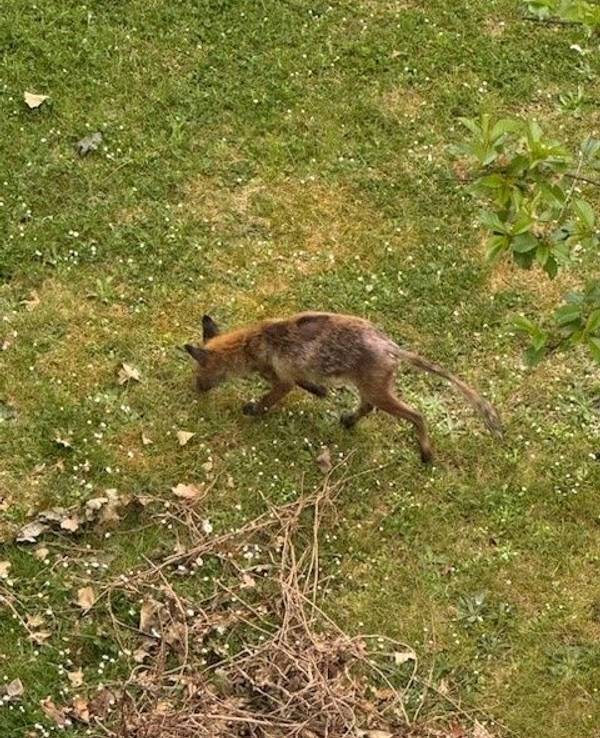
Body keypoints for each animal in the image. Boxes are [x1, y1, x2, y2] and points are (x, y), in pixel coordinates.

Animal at [184, 312, 502, 463]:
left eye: (201, 371)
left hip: (379, 393)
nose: (197, 388)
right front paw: (321, 392)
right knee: (367, 407)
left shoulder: (283, 379)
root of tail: (390, 345)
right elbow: (310, 386)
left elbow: (268, 399)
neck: (255, 342)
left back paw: (426, 453)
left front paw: (252, 410)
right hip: (371, 388)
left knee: (417, 415)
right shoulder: (291, 375)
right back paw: (349, 421)